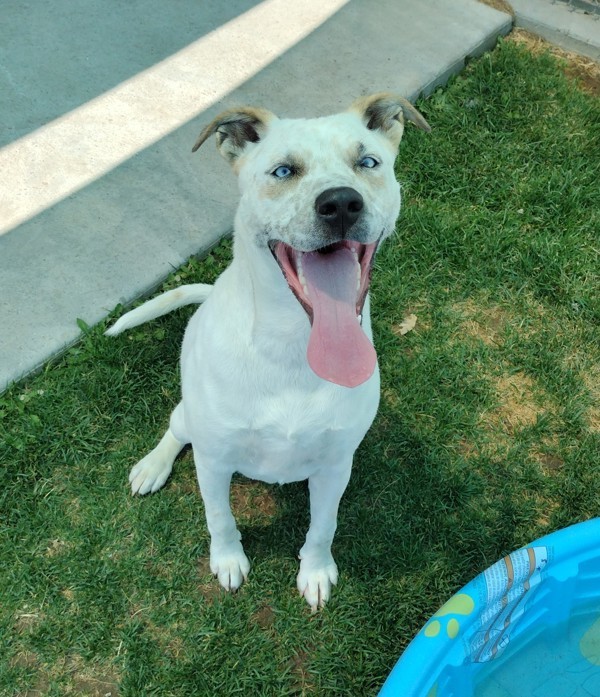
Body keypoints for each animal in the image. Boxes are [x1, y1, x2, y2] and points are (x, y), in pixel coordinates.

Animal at [106, 94, 426, 608]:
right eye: (283, 171)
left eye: (367, 162)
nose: (341, 203)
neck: (294, 347)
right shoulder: (214, 461)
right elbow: (220, 520)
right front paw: (228, 561)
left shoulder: (335, 466)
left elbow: (323, 526)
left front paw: (315, 572)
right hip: (190, 419)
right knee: (175, 430)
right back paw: (152, 466)